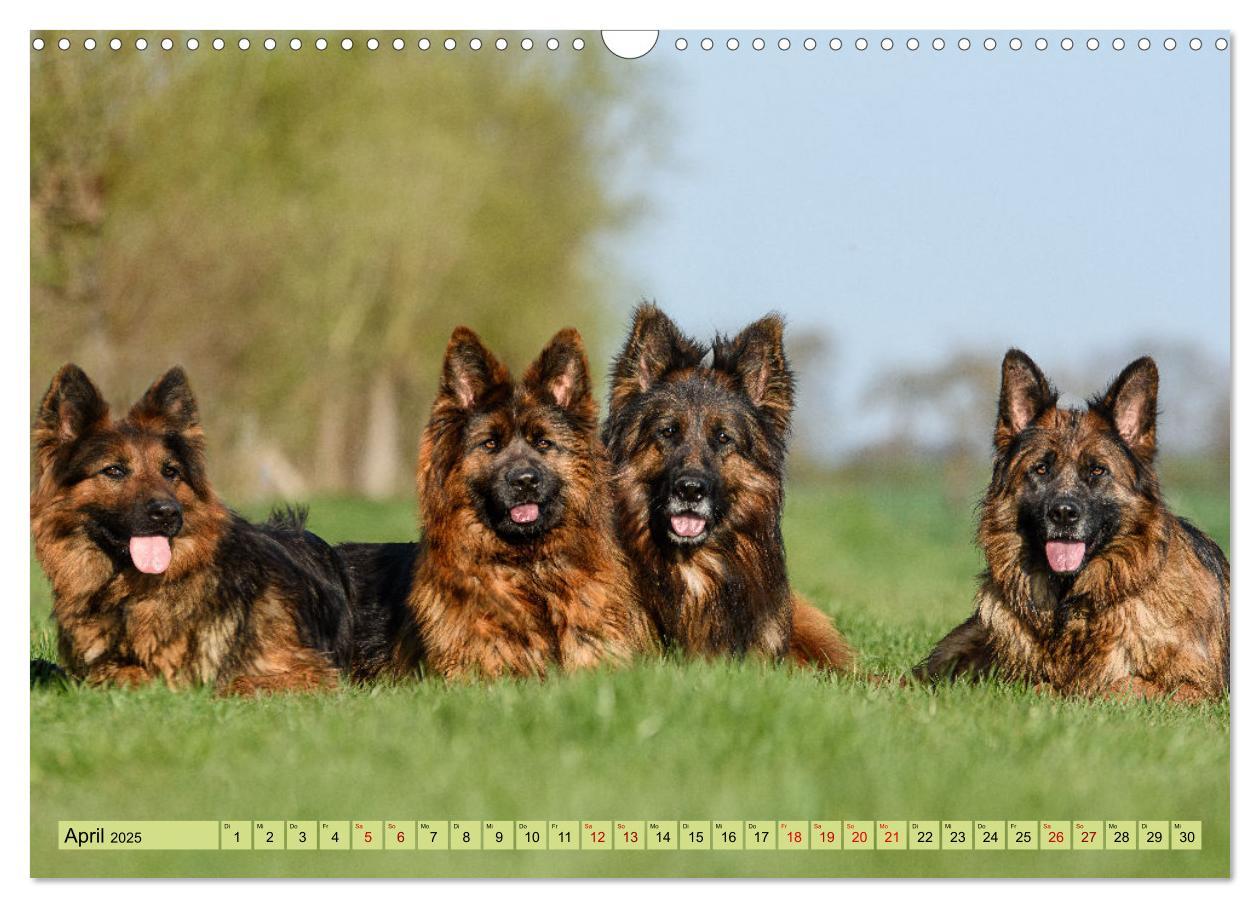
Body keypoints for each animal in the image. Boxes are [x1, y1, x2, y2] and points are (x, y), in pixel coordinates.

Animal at [31, 365, 355, 690]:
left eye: (170, 471)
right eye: (114, 471)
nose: (167, 513)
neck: (126, 593)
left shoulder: (308, 671)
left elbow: (226, 682)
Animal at [917, 350, 1229, 700]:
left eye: (1097, 471)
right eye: (1041, 469)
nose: (1064, 514)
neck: (1075, 606)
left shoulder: (1198, 689)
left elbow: (1120, 686)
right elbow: (1039, 686)